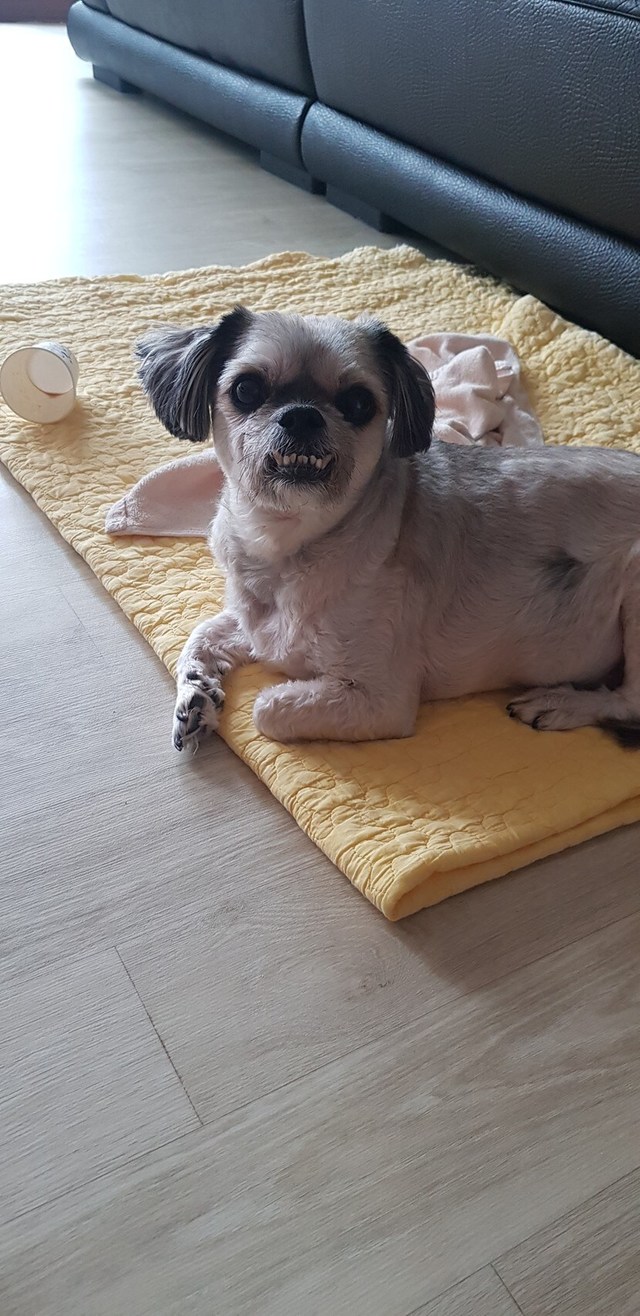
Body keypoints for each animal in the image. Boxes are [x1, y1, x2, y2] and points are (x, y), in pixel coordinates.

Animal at [137, 306, 640, 750]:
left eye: (358, 403)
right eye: (246, 389)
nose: (302, 414)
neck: (287, 544)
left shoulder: (379, 700)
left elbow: (268, 709)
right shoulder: (260, 628)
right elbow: (203, 635)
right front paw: (197, 696)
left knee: (629, 702)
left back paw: (562, 704)